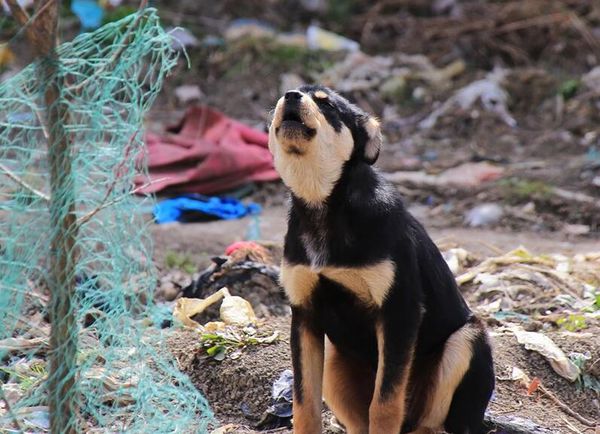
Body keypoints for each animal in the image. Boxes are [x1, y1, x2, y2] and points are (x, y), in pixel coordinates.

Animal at [270, 85, 494, 434]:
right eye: (284, 96)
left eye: (327, 104)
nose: (290, 95)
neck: (323, 206)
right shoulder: (304, 315)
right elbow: (304, 404)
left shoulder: (399, 311)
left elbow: (385, 403)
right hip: (334, 360)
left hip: (468, 340)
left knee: (431, 423)